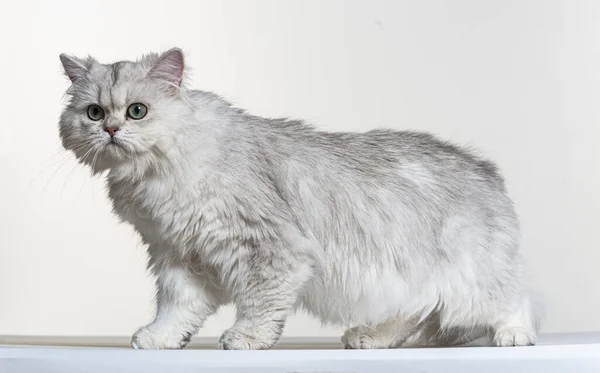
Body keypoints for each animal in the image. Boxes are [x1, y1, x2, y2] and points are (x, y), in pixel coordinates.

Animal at [59, 47, 540, 348]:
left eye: (137, 111)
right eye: (94, 112)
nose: (111, 130)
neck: (157, 176)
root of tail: (485, 168)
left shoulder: (267, 248)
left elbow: (259, 303)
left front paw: (246, 338)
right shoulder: (178, 254)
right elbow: (175, 309)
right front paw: (159, 338)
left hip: (473, 277)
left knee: (514, 298)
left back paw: (515, 335)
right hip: (404, 281)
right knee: (414, 312)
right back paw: (371, 338)